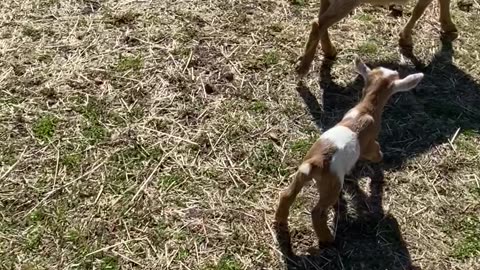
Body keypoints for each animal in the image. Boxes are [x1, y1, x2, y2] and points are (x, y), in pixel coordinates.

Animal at [296, 0, 458, 76]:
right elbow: (419, 10)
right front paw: (405, 38)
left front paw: (449, 27)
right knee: (318, 23)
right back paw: (303, 68)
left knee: (320, 19)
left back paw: (329, 51)